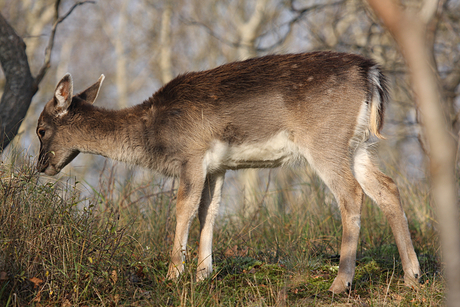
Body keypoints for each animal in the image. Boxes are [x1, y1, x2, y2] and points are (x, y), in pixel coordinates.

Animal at [36, 51, 420, 294]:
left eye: (40, 129)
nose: (41, 166)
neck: (154, 134)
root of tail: (371, 74)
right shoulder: (217, 165)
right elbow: (209, 211)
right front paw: (203, 274)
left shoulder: (191, 154)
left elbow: (183, 209)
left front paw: (174, 275)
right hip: (358, 144)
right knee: (387, 187)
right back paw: (412, 275)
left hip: (325, 138)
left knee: (351, 194)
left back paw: (341, 283)